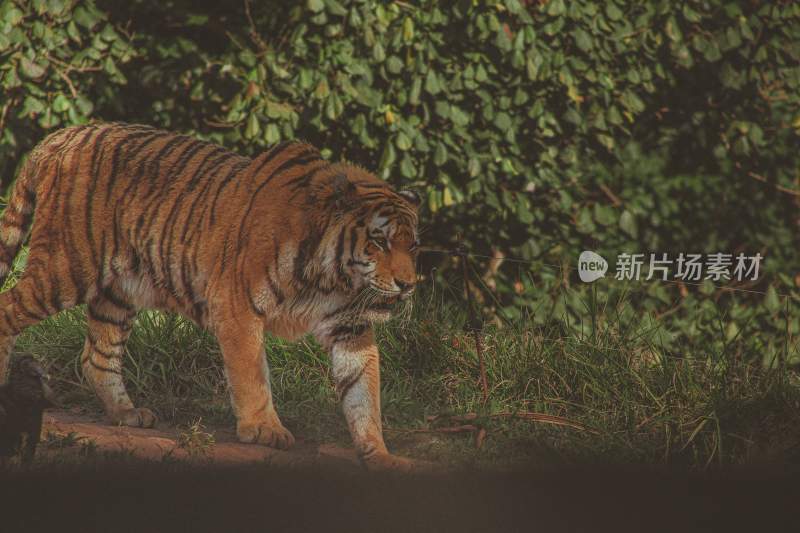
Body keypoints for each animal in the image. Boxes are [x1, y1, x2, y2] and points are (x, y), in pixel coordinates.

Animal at [0, 121, 422, 470]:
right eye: (379, 241)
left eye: (413, 245)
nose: (408, 284)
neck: (332, 278)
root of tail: (61, 136)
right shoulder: (238, 306)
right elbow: (251, 374)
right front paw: (264, 429)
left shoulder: (350, 328)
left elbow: (363, 395)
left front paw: (380, 455)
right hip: (67, 267)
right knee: (8, 308)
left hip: (117, 292)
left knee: (97, 355)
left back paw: (127, 413)